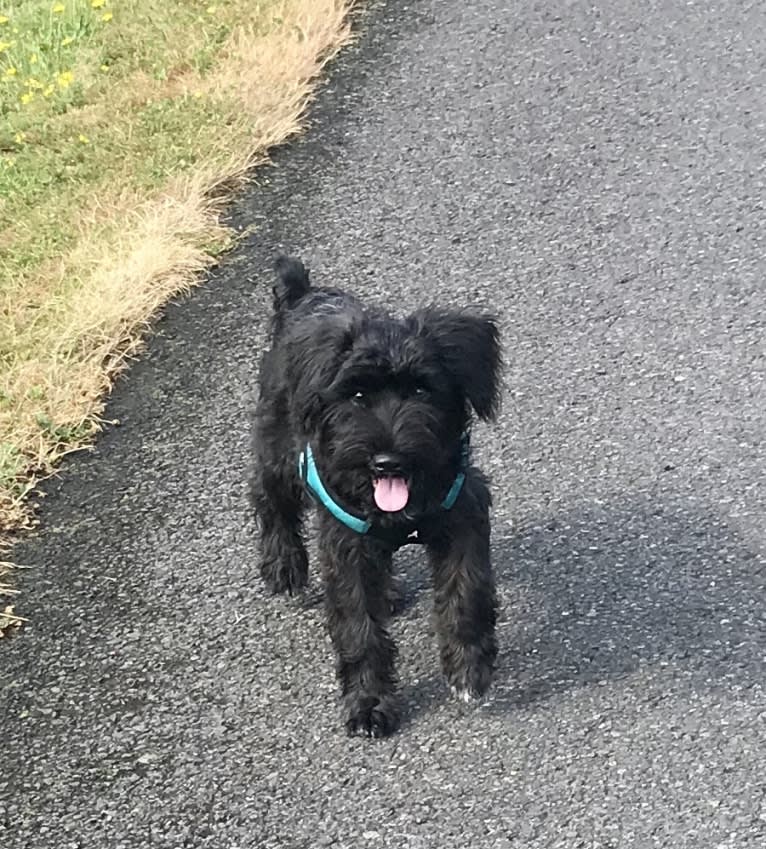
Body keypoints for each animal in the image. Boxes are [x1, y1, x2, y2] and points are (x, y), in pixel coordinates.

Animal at [252, 256, 504, 736]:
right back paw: (283, 567)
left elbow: (468, 591)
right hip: (278, 449)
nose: (388, 461)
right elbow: (358, 625)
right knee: (269, 500)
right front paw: (368, 703)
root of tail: (301, 294)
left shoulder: (463, 515)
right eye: (356, 394)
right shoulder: (345, 546)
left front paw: (469, 669)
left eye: (422, 389)